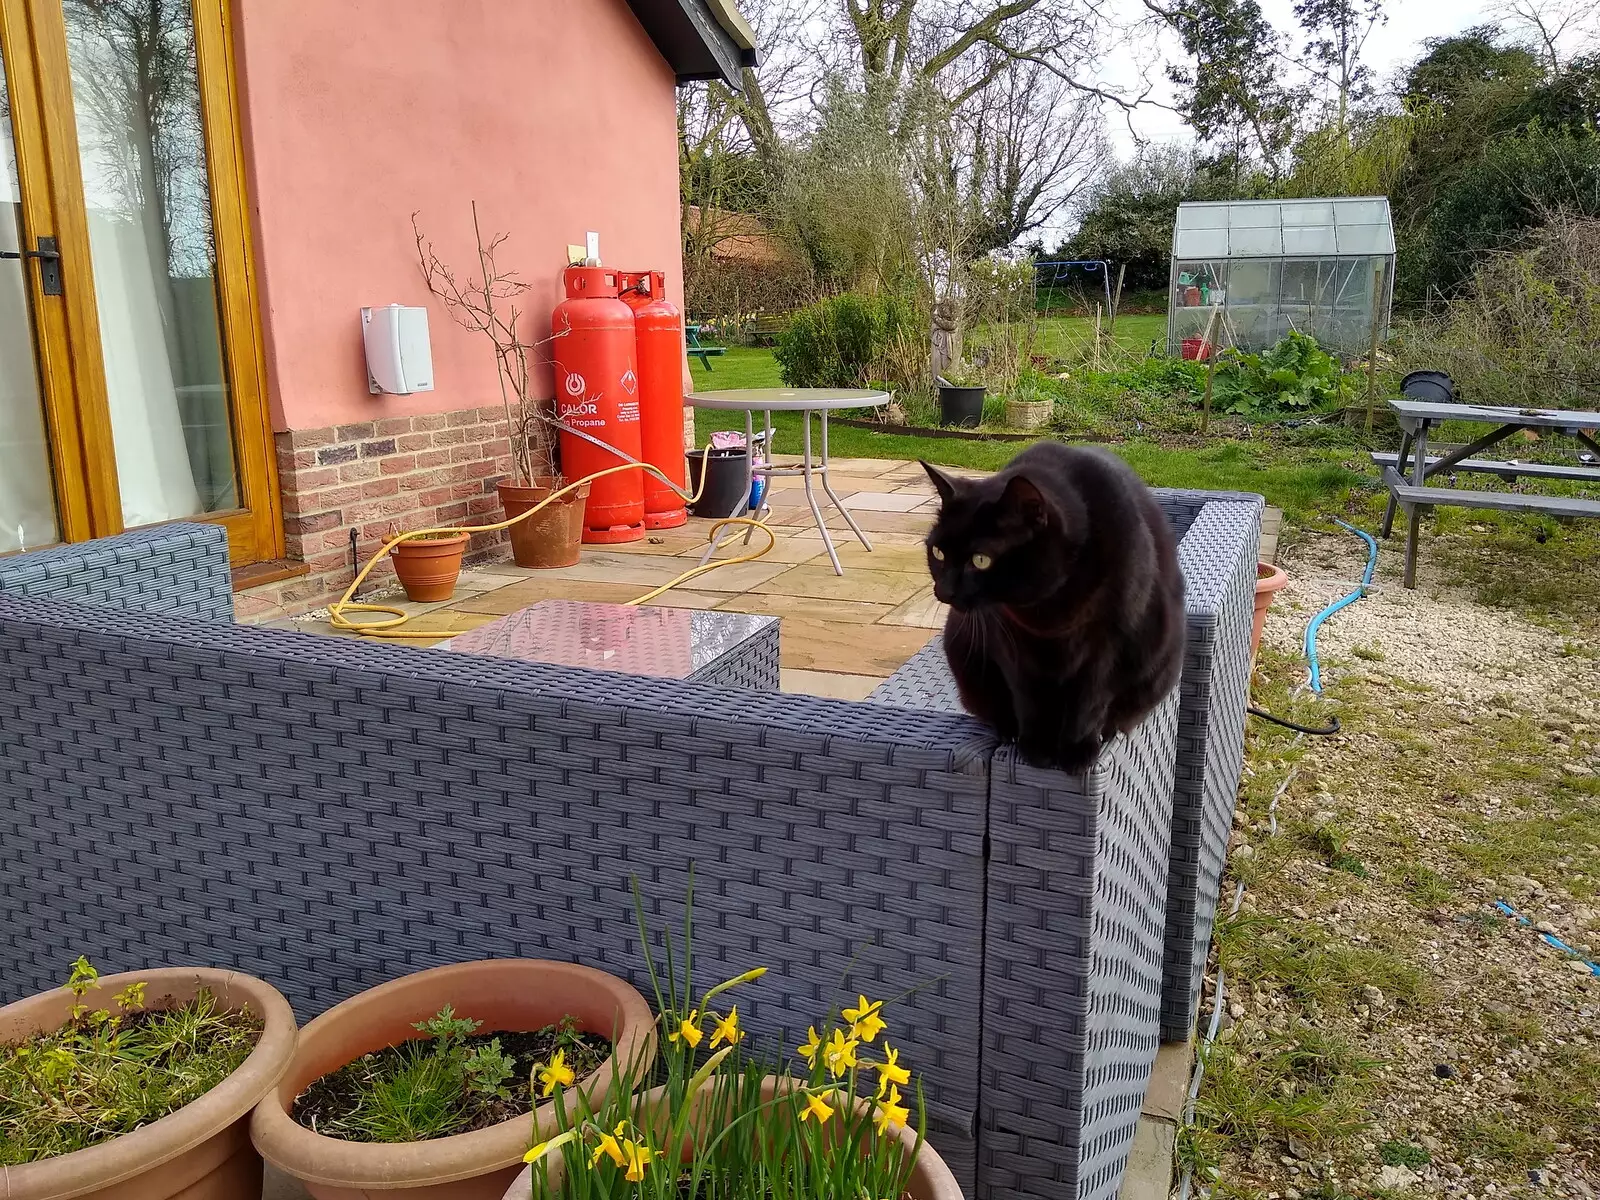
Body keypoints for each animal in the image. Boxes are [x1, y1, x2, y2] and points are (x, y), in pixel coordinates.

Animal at [921, 441, 1184, 771]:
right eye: (938, 552)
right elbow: (1029, 699)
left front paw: (1076, 751)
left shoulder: (1108, 646)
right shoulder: (1011, 642)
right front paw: (1037, 749)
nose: (943, 591)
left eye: (980, 560)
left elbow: (1090, 701)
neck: (1048, 610)